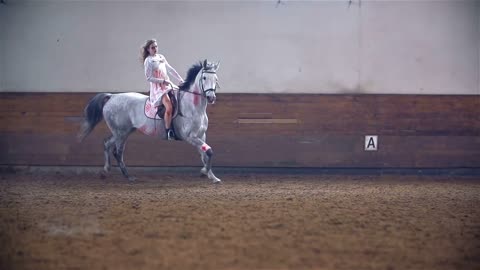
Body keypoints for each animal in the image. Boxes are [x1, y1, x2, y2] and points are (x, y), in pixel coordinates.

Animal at [79, 60, 221, 182]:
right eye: (204, 78)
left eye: (216, 79)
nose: (211, 97)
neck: (193, 107)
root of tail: (112, 96)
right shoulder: (190, 137)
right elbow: (209, 151)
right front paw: (204, 172)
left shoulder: (201, 135)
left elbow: (205, 155)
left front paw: (212, 177)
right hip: (121, 133)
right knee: (117, 152)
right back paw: (128, 177)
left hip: (123, 131)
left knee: (107, 144)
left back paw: (105, 172)